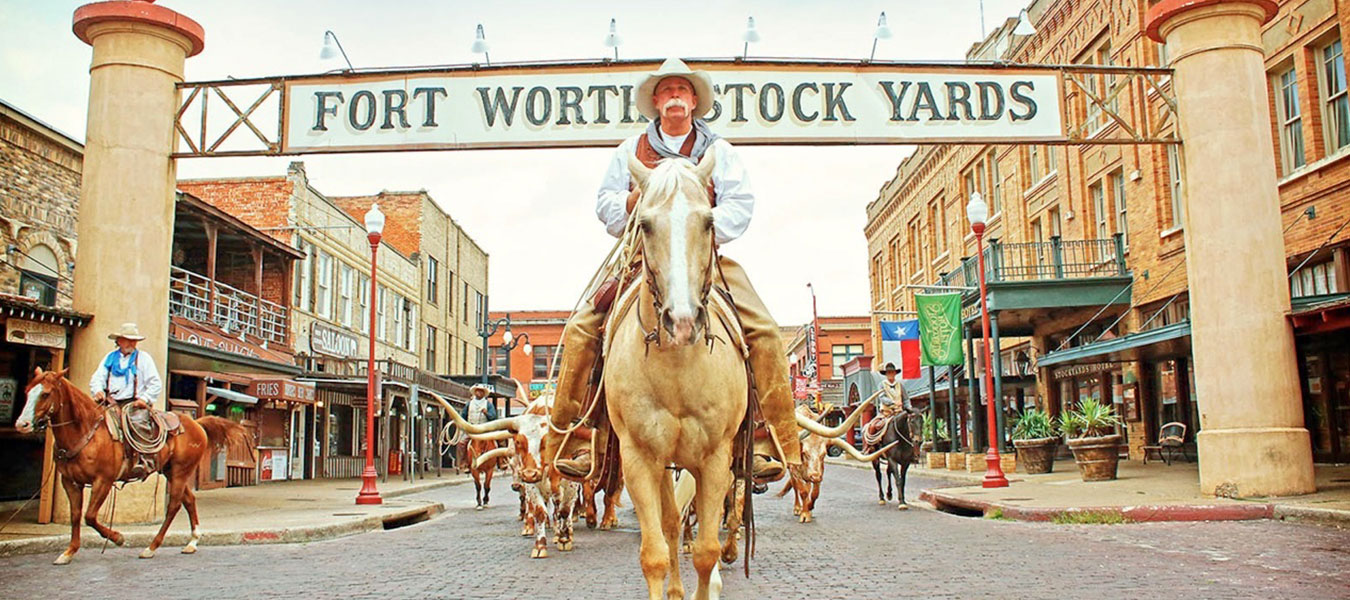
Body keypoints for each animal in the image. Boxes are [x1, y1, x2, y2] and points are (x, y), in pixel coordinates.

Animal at [12, 367, 245, 564]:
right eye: (27, 391)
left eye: (45, 394)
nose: (21, 424)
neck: (86, 431)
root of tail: (196, 423)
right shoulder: (69, 481)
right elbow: (76, 515)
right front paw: (69, 552)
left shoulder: (103, 481)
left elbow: (90, 516)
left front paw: (118, 538)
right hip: (170, 471)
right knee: (188, 500)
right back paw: (192, 541)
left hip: (180, 471)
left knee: (174, 506)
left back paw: (151, 547)